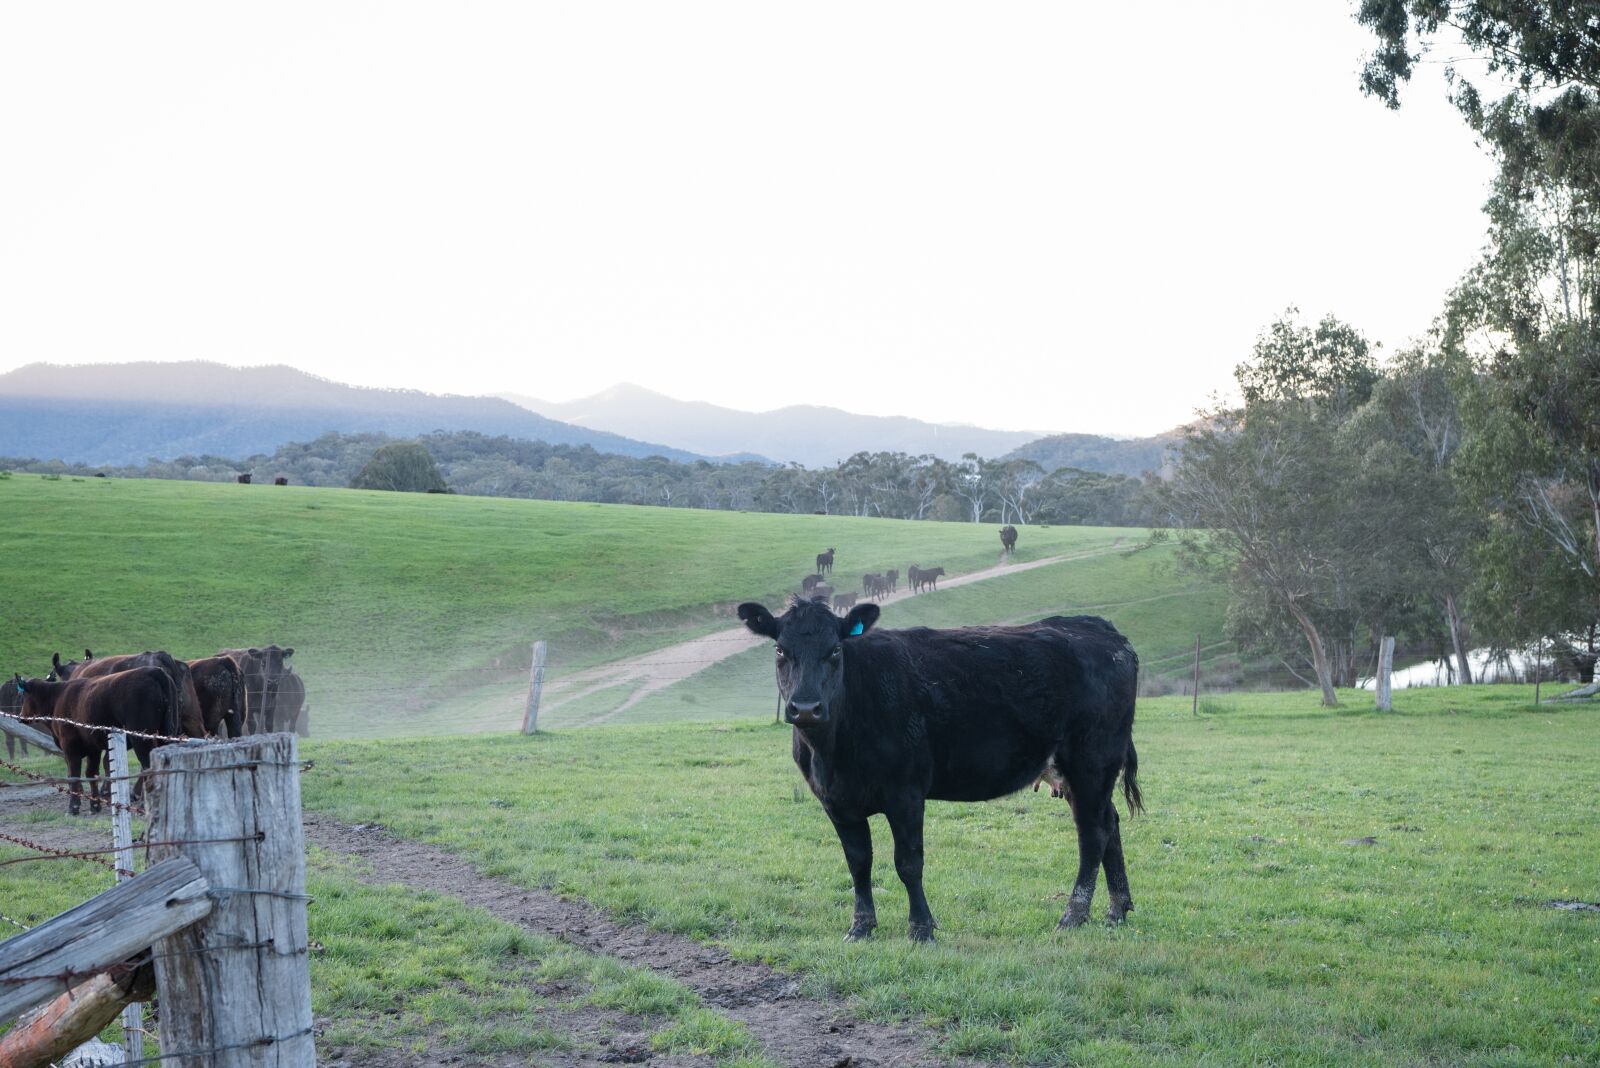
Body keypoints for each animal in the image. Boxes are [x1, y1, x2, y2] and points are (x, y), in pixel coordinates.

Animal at [13, 667, 178, 813]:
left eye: (21, 697)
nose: (20, 717)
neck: (57, 698)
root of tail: (154, 671)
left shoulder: (70, 746)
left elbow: (74, 774)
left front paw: (74, 806)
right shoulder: (93, 748)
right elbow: (90, 773)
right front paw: (95, 804)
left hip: (141, 738)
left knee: (147, 766)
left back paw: (144, 803)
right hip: (164, 735)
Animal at [736, 596, 1141, 940]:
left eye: (835, 649)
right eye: (779, 650)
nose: (805, 708)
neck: (832, 752)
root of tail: (1101, 629)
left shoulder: (906, 792)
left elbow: (908, 862)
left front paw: (921, 928)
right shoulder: (835, 801)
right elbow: (858, 862)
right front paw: (861, 927)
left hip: (1093, 761)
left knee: (1093, 835)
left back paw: (1073, 915)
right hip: (1080, 772)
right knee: (1110, 824)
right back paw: (1116, 911)